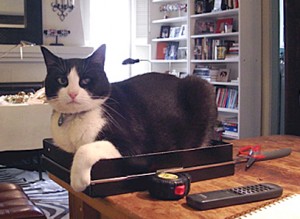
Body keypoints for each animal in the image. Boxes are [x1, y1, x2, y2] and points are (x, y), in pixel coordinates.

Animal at [41, 44, 217, 192]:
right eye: (62, 80)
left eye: (85, 80)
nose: (72, 93)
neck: (76, 118)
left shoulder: (133, 147)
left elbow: (85, 148)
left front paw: (78, 180)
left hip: (202, 87)